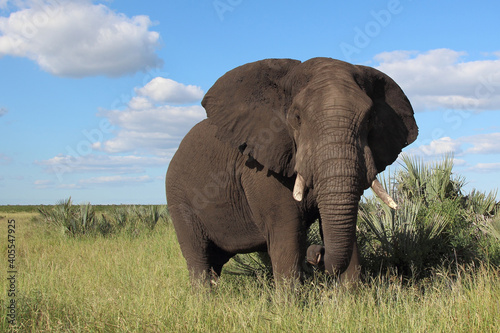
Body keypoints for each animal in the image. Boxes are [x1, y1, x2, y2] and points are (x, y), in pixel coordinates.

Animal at [165, 57, 418, 286]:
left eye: (370, 118)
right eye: (296, 118)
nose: (317, 254)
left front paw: (351, 298)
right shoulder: (261, 167)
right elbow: (287, 235)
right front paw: (289, 304)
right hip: (178, 199)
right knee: (199, 258)